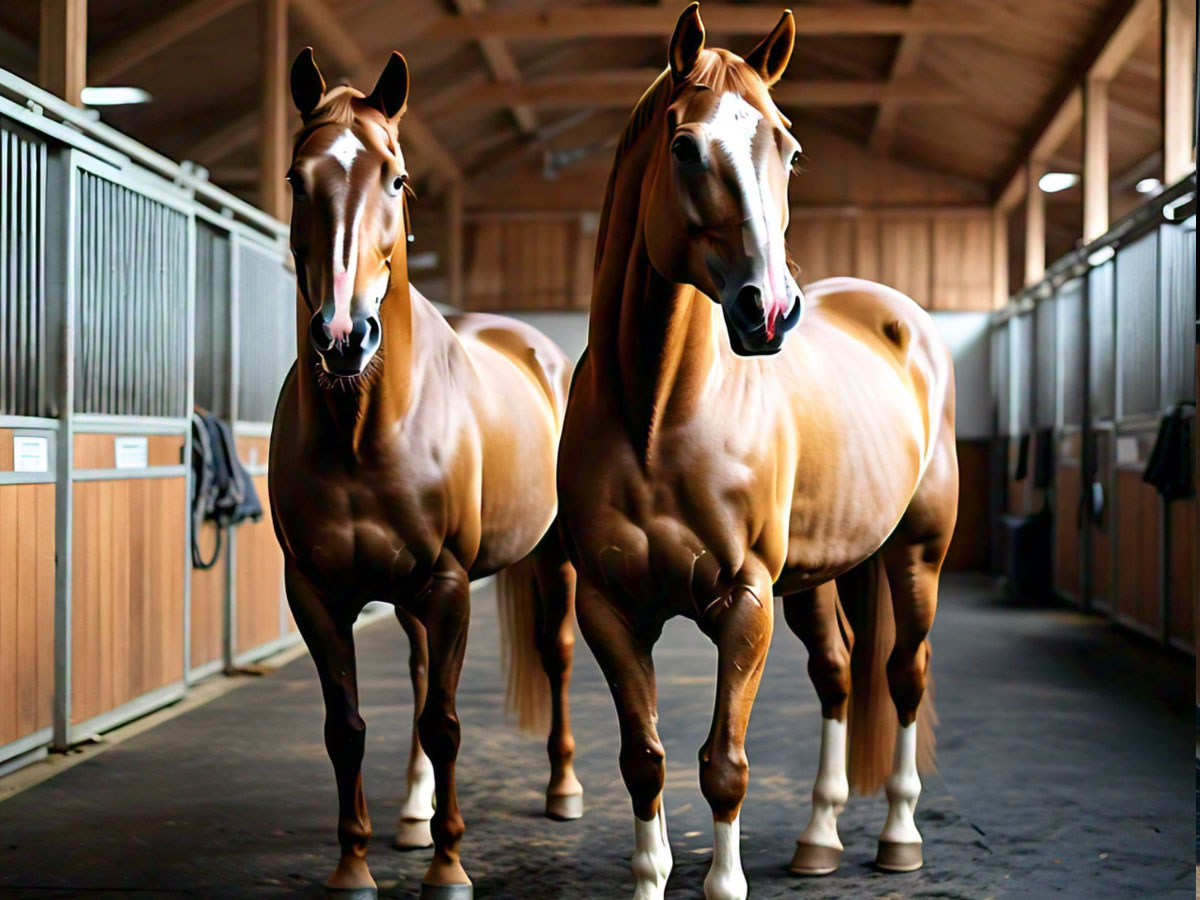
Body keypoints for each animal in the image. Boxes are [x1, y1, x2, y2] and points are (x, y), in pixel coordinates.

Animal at [273, 51, 590, 900]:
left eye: (397, 179)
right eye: (295, 179)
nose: (343, 336)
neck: (365, 431)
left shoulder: (448, 583)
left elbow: (446, 725)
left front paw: (449, 867)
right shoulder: (314, 591)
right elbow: (346, 726)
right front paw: (353, 865)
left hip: (551, 559)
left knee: (556, 654)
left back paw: (562, 791)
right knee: (418, 674)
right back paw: (413, 815)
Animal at [556, 5, 960, 897]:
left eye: (791, 149)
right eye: (684, 147)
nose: (768, 310)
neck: (659, 416)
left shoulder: (743, 600)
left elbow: (725, 764)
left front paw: (724, 881)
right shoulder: (608, 605)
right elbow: (644, 758)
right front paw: (650, 875)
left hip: (916, 553)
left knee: (904, 674)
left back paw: (899, 835)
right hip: (812, 575)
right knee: (838, 673)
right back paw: (819, 838)